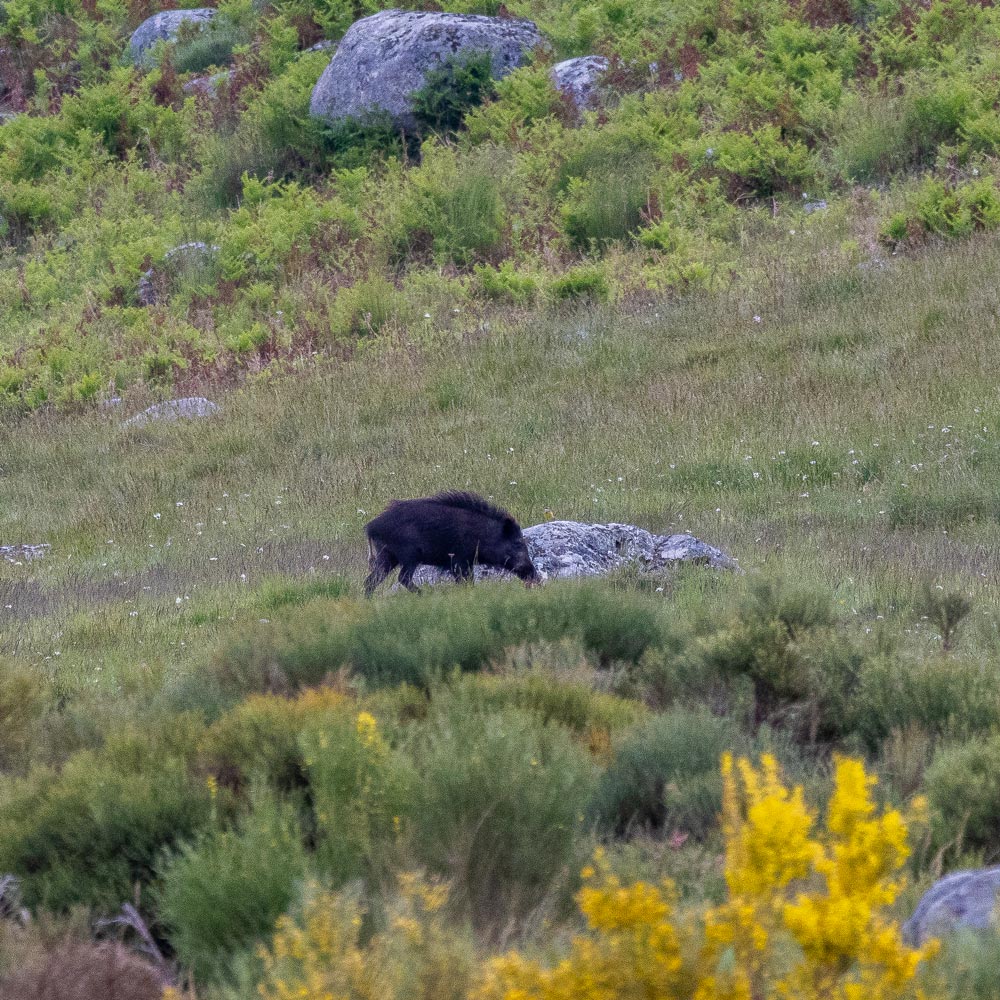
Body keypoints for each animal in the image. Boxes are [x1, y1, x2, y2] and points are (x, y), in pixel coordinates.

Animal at [363, 491, 541, 596]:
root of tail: (371, 527)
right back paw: (424, 594)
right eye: (518, 543)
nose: (535, 576)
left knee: (370, 581)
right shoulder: (459, 560)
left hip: (387, 556)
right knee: (402, 578)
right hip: (408, 555)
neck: (483, 536)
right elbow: (466, 582)